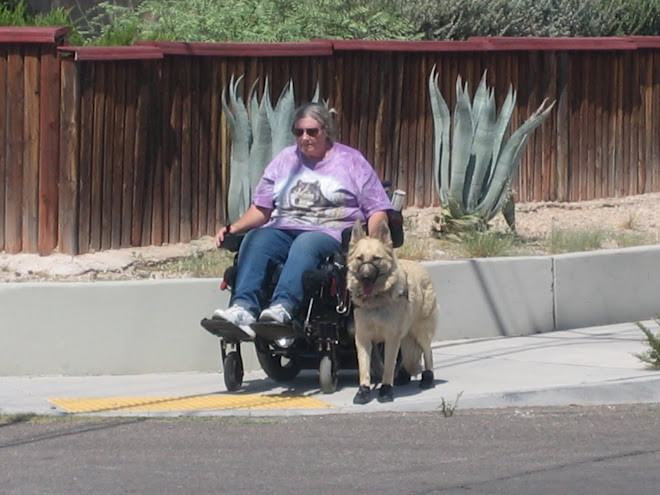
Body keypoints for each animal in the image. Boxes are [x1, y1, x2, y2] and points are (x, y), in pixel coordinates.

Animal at [346, 219, 438, 404]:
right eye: (359, 259)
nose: (365, 278)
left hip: (421, 332)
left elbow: (388, 366)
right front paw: (363, 391)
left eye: (376, 259)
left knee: (428, 351)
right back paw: (403, 375)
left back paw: (428, 378)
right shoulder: (363, 338)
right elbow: (364, 367)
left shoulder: (391, 338)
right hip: (405, 335)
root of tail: (421, 266)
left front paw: (386, 390)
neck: (376, 301)